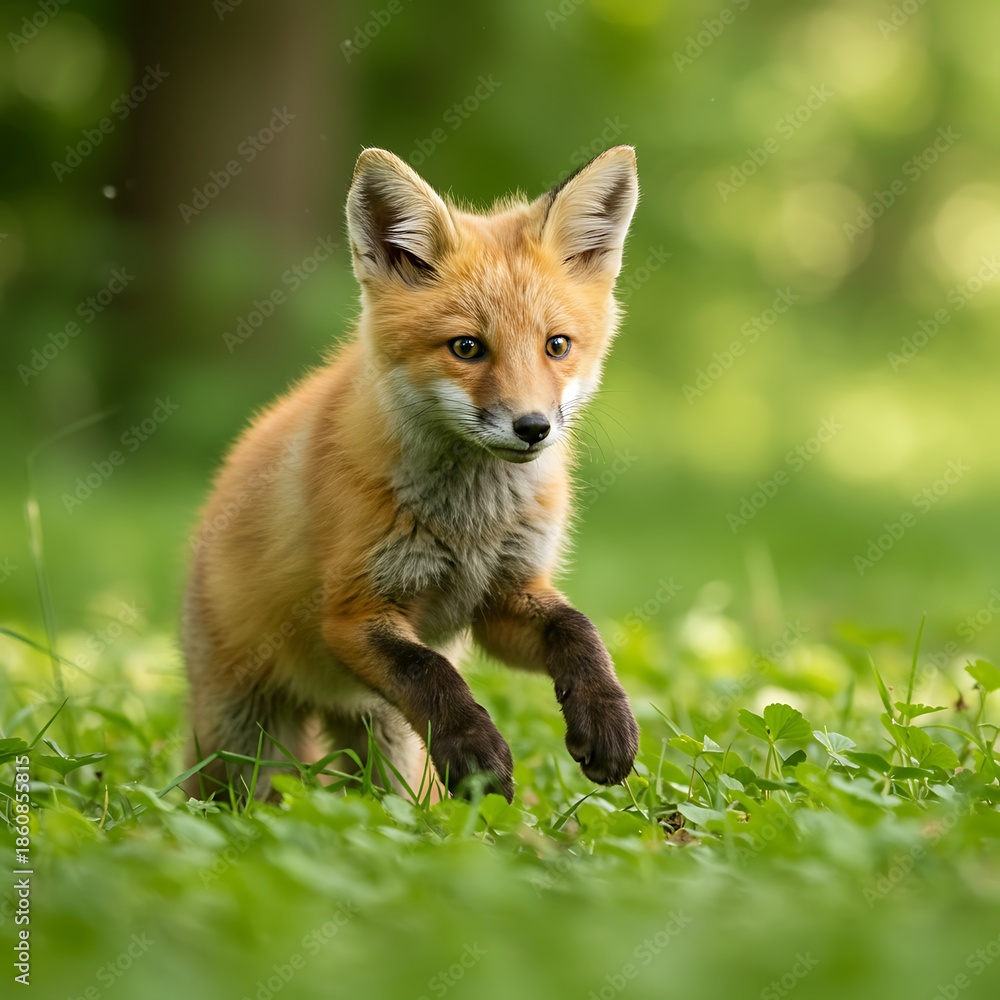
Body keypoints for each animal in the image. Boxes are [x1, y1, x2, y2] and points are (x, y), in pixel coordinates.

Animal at [182, 145, 641, 803]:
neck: (472, 524)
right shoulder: (352, 612)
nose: (533, 428)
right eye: (467, 347)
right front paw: (476, 753)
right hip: (242, 746)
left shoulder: (503, 598)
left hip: (385, 748)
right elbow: (431, 669)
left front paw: (606, 719)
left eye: (557, 345)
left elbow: (578, 631)